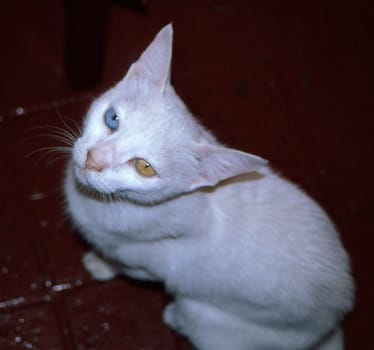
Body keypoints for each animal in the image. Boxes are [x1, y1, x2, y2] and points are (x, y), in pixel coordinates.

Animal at [63, 23, 354, 348]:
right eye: (112, 119)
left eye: (144, 167)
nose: (93, 160)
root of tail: (332, 326)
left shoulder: (148, 266)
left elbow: (121, 264)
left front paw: (100, 264)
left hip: (205, 318)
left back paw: (174, 316)